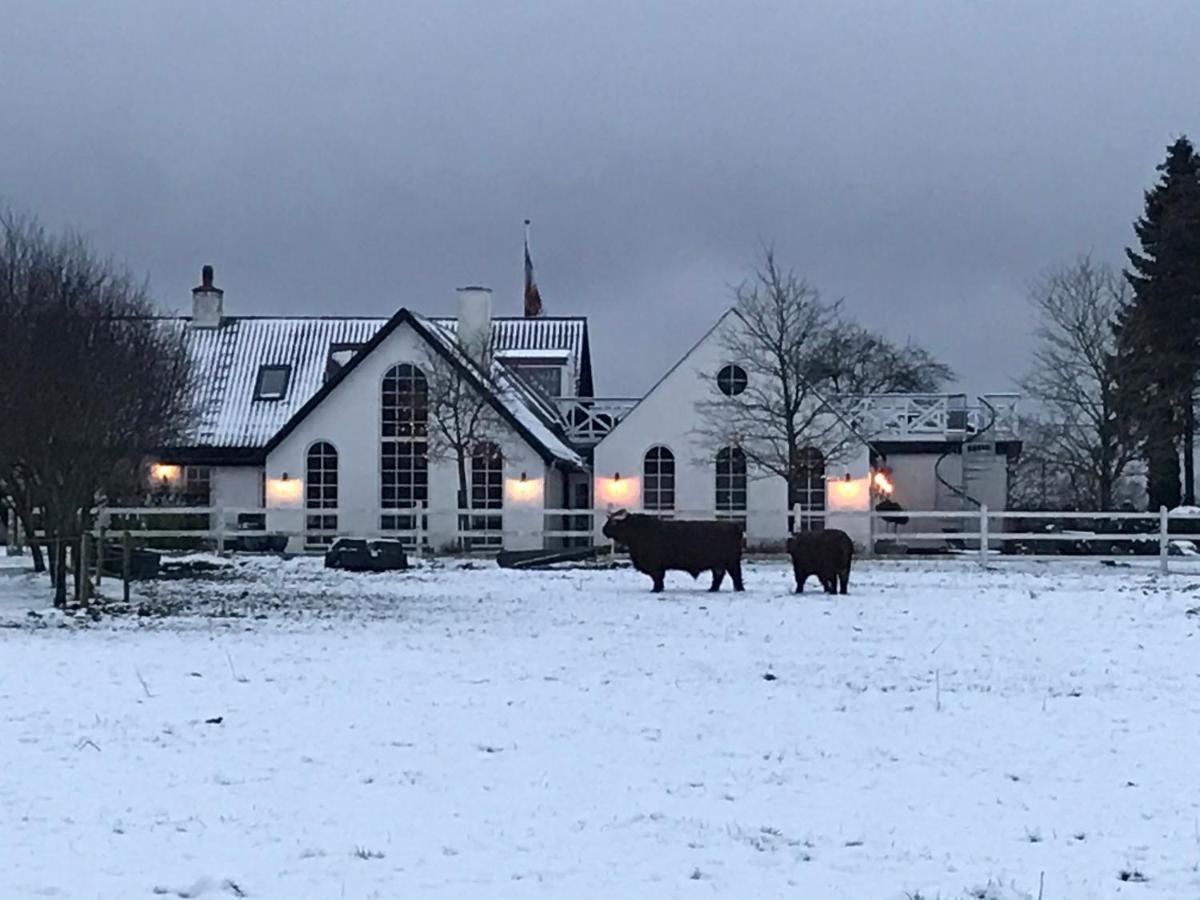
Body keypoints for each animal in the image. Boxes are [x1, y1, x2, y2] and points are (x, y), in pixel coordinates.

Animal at [604, 511, 744, 595]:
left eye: (613, 522)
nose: (603, 529)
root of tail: (735, 526)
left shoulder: (655, 566)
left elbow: (657, 578)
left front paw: (656, 589)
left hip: (731, 562)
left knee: (735, 575)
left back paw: (738, 589)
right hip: (719, 564)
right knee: (719, 576)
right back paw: (712, 589)